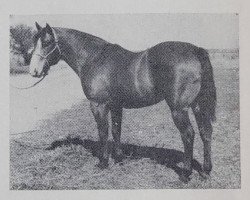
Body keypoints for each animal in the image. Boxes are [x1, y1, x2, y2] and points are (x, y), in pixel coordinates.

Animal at [29, 22, 217, 183]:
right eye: (34, 41)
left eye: (46, 42)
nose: (33, 71)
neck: (94, 58)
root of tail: (195, 50)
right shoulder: (115, 105)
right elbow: (116, 130)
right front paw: (119, 159)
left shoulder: (98, 105)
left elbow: (103, 132)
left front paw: (103, 162)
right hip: (197, 106)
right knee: (205, 132)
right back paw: (206, 171)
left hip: (179, 109)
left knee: (188, 135)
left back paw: (185, 174)